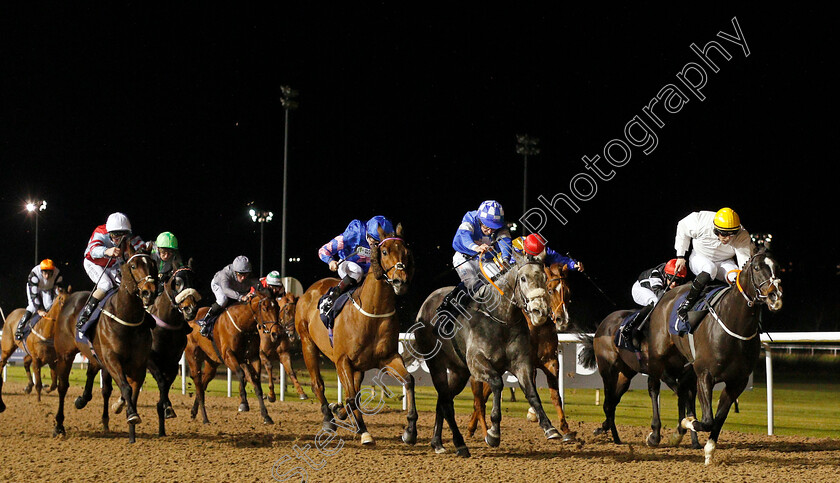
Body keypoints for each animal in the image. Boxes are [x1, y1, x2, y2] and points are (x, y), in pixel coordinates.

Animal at [53, 248, 158, 444]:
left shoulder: (139, 364)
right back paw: (59, 426)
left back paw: (85, 403)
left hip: (94, 355)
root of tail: (70, 298)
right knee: (63, 387)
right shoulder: (112, 359)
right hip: (65, 354)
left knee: (96, 380)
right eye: (133, 266)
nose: (150, 292)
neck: (127, 318)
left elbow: (132, 392)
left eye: (153, 265)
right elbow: (125, 387)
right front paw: (131, 415)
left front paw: (131, 429)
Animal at [185, 290, 278, 426]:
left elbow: (256, 382)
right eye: (265, 309)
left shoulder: (253, 357)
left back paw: (193, 412)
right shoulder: (228, 355)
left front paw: (266, 416)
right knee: (198, 385)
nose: (276, 333)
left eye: (278, 308)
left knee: (203, 384)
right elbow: (240, 374)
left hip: (211, 364)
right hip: (193, 359)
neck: (243, 325)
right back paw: (205, 418)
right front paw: (244, 404)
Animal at [296, 225, 416, 448]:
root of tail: (309, 291)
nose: (400, 280)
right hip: (307, 344)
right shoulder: (342, 360)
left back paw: (338, 412)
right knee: (318, 384)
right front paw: (364, 432)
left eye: (406, 252)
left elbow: (408, 380)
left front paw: (410, 431)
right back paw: (328, 419)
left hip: (358, 366)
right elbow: (351, 397)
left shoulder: (389, 357)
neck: (372, 312)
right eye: (384, 251)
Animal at [412, 251, 560, 460]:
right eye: (523, 278)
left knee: (443, 399)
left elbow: (532, 393)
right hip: (436, 365)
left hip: (459, 372)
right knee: (446, 402)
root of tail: (426, 302)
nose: (540, 310)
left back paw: (437, 442)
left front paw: (549, 427)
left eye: (544, 279)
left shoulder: (522, 363)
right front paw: (493, 433)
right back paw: (460, 444)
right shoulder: (477, 363)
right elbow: (497, 383)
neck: (500, 318)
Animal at [466, 262, 576, 444]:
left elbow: (555, 396)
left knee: (484, 394)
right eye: (550, 290)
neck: (538, 328)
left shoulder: (551, 361)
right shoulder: (527, 363)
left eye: (567, 292)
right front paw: (534, 415)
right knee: (481, 397)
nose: (563, 320)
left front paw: (565, 429)